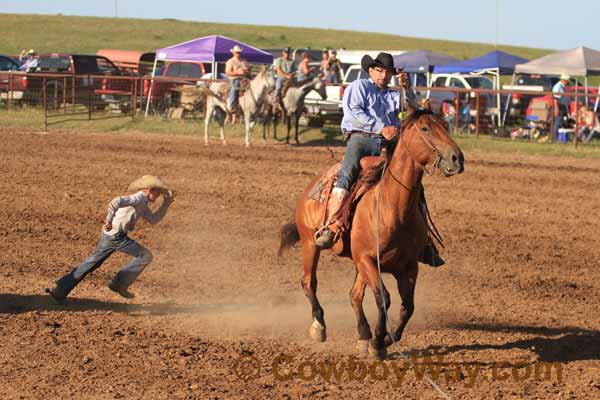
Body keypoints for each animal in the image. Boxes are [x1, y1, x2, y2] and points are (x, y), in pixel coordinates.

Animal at [278, 110, 466, 360]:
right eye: (425, 128)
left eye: (445, 126)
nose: (457, 158)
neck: (391, 208)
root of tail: (313, 184)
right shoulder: (368, 260)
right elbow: (383, 299)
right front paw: (378, 343)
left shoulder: (408, 267)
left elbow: (407, 306)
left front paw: (385, 338)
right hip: (311, 243)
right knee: (309, 282)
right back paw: (320, 326)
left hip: (357, 263)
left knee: (354, 295)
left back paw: (363, 335)